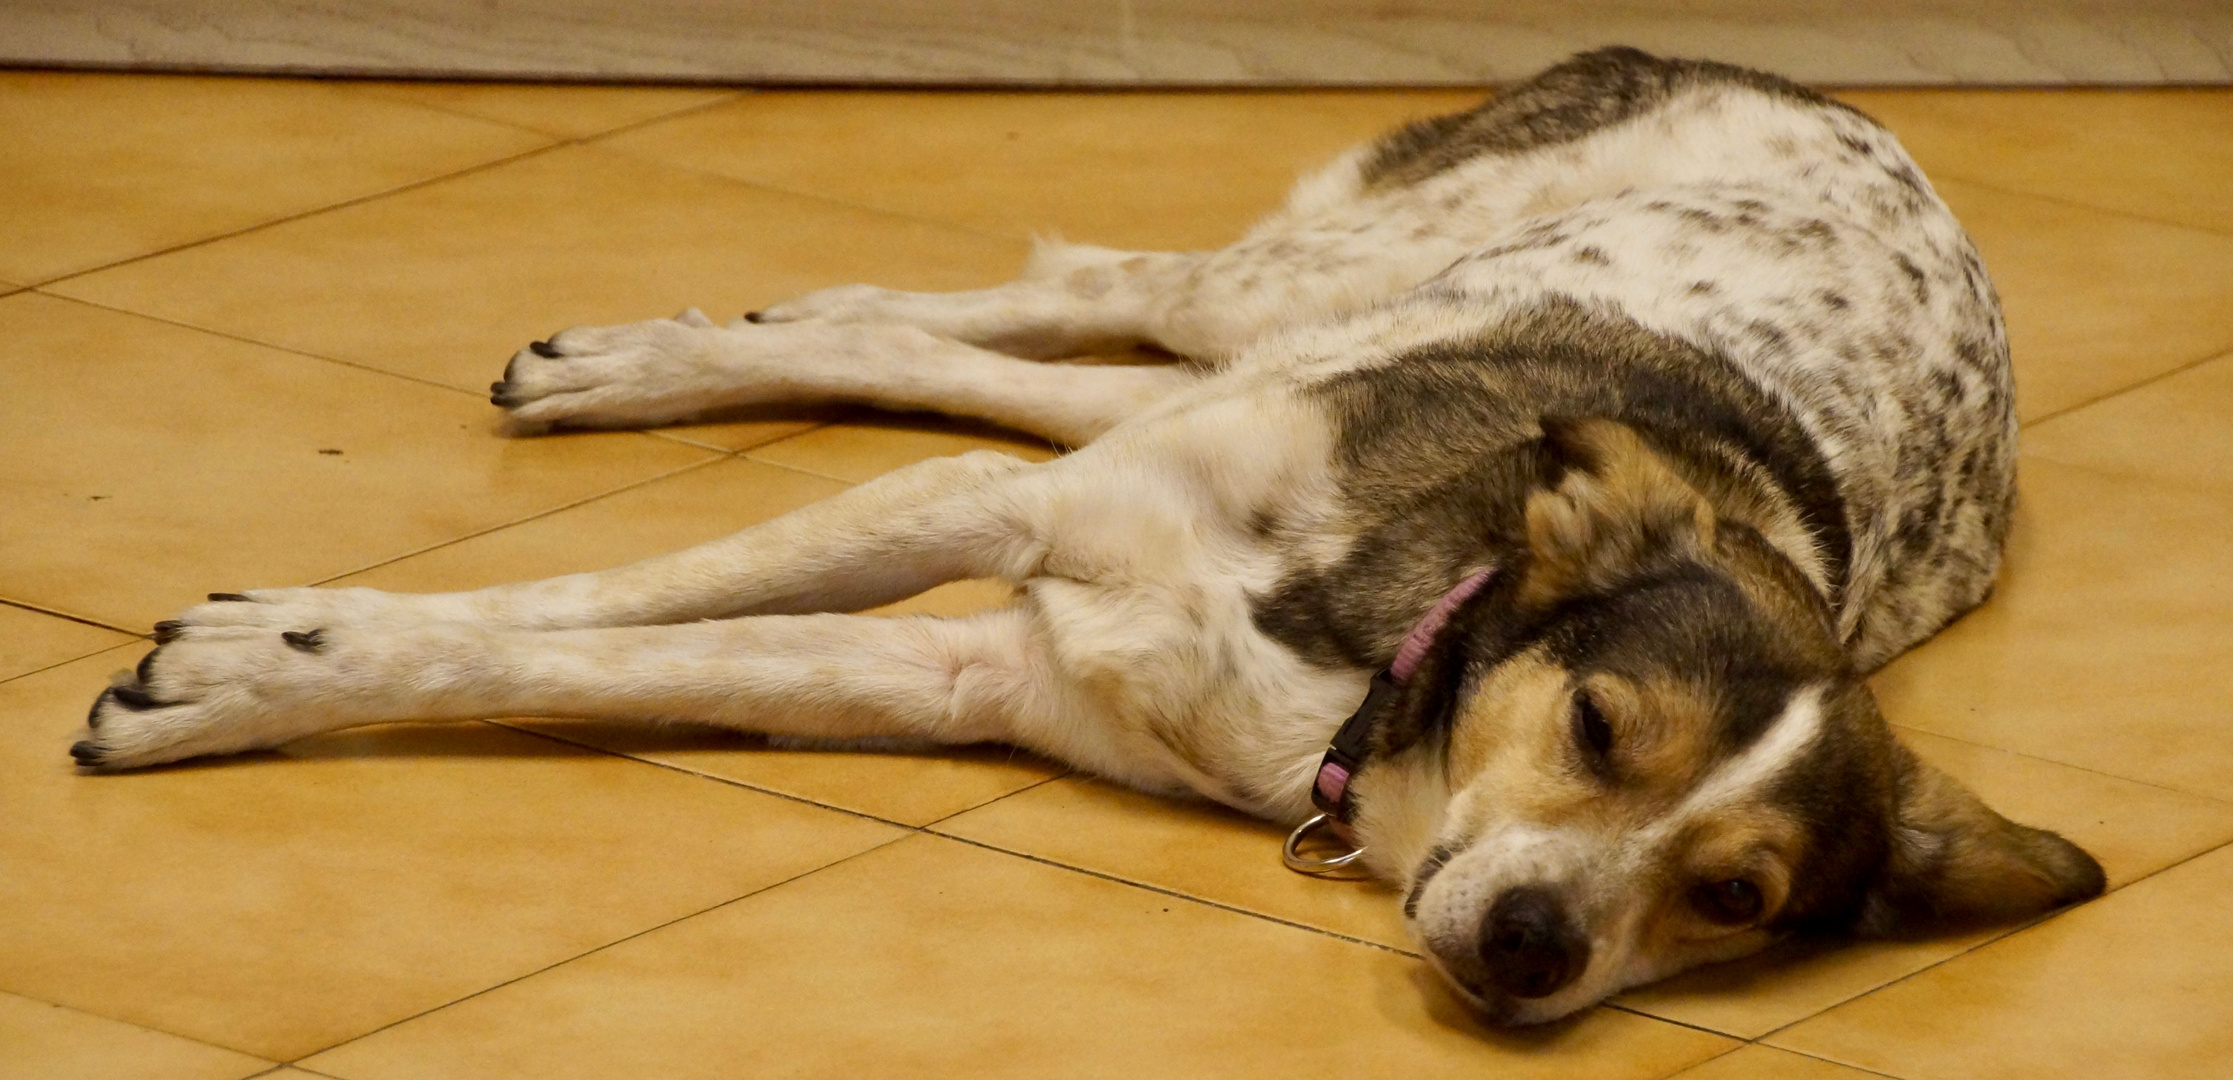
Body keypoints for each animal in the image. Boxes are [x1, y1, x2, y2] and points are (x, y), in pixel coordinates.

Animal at [69, 50, 2090, 1026]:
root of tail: (1767, 73)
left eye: (1736, 901)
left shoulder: (976, 667)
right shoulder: (1005, 518)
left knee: (997, 357)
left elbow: (639, 652)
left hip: (1265, 339)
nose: (1533, 947)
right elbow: (585, 603)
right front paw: (269, 657)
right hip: (1298, 280)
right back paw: (656, 361)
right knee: (1072, 290)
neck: (1368, 684)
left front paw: (268, 666)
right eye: (1599, 728)